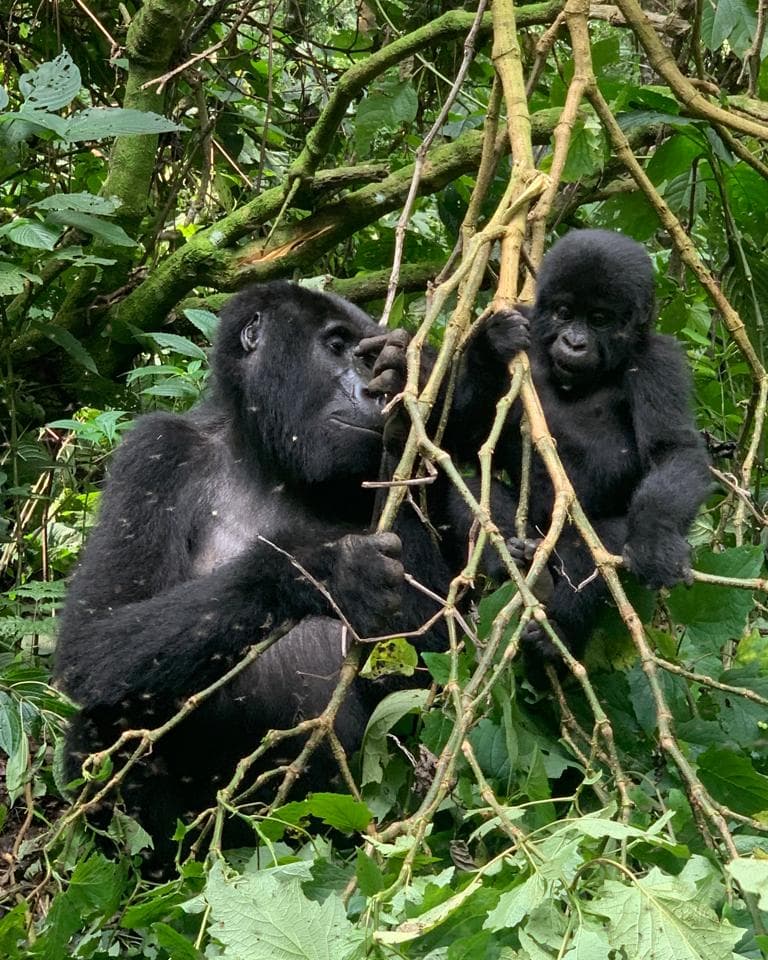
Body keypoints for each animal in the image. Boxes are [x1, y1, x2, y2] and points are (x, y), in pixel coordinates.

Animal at [55, 284, 480, 864]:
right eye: (337, 346)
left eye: (369, 357)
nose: (372, 393)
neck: (267, 459)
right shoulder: (157, 450)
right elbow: (93, 637)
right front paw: (321, 570)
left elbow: (433, 662)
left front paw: (409, 397)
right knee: (113, 709)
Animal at [452, 228, 712, 676]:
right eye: (563, 312)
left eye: (599, 319)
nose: (574, 343)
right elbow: (462, 440)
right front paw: (491, 344)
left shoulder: (660, 360)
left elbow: (674, 450)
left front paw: (656, 539)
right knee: (463, 489)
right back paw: (517, 562)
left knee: (599, 540)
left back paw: (558, 632)